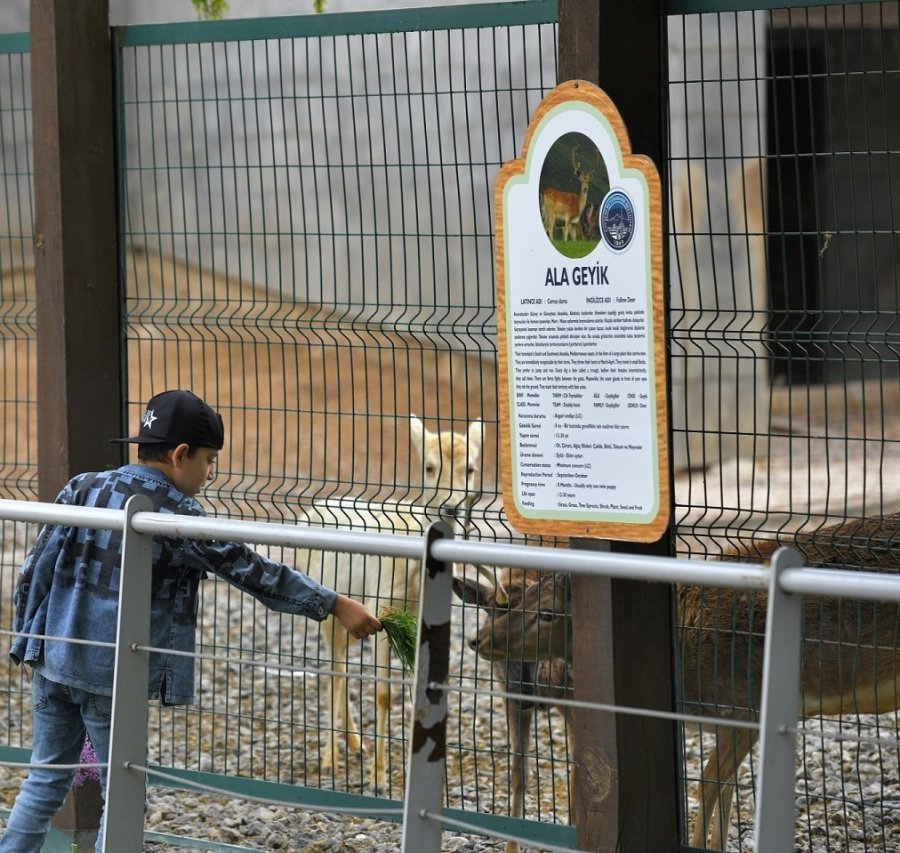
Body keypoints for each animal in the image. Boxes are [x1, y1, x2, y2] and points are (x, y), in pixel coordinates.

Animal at [460, 512, 900, 852]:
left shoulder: (745, 704)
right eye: (526, 594)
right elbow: (726, 785)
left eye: (548, 612)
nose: (476, 639)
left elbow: (706, 782)